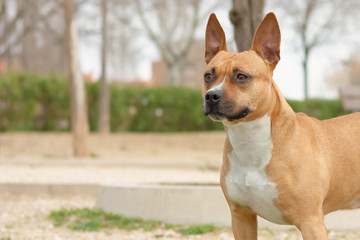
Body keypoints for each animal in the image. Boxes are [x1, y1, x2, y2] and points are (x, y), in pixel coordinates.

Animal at [202, 11, 360, 240]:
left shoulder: (311, 221)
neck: (250, 140)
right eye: (208, 76)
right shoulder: (241, 218)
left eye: (241, 76)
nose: (211, 95)